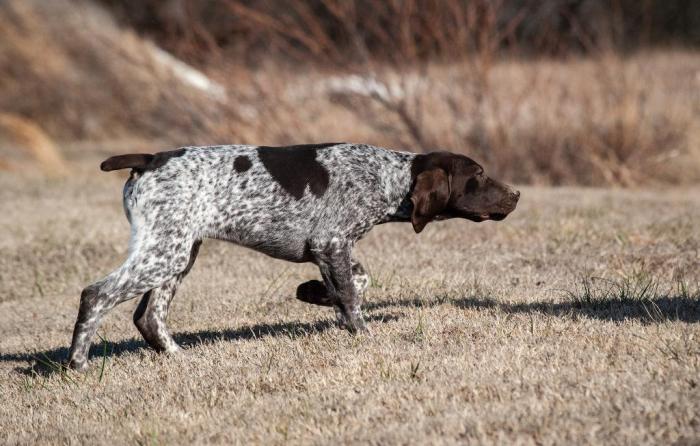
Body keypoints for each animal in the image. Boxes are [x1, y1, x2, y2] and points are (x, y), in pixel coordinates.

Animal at [67, 143, 520, 370]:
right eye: (478, 175)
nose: (516, 194)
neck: (387, 175)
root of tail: (149, 159)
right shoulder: (331, 241)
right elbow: (352, 298)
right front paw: (361, 333)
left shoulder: (330, 249)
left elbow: (355, 282)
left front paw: (315, 294)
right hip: (165, 253)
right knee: (96, 295)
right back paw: (78, 364)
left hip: (177, 251)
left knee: (148, 316)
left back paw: (178, 357)